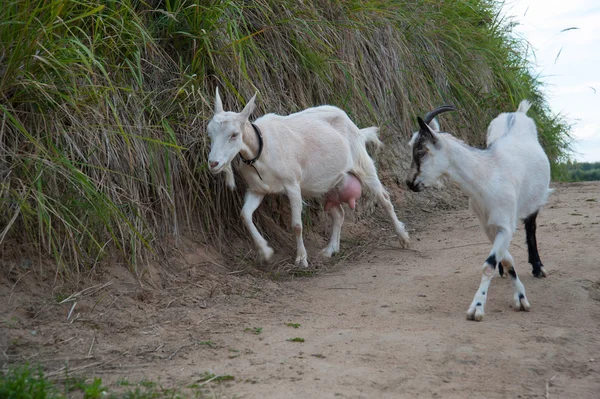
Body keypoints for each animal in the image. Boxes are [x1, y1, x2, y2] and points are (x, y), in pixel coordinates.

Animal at [406, 101, 552, 324]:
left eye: (421, 151)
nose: (410, 183)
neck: (487, 176)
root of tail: (516, 113)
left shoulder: (505, 225)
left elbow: (488, 265)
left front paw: (477, 307)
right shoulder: (487, 225)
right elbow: (506, 259)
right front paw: (519, 295)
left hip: (535, 200)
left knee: (531, 228)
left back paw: (538, 267)